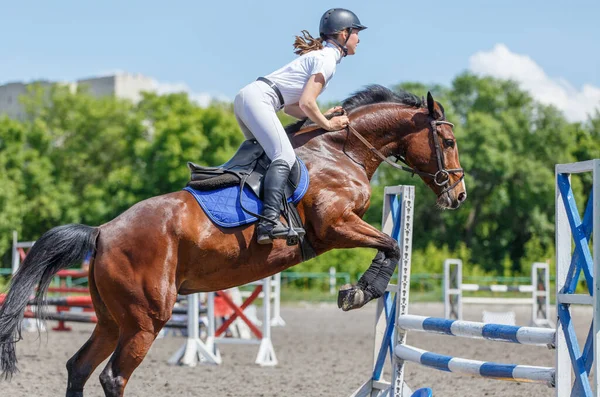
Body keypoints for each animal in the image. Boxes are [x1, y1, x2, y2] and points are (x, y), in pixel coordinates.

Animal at [0, 85, 466, 394]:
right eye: (447, 140)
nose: (458, 195)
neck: (340, 151)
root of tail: (101, 233)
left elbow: (390, 245)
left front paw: (359, 290)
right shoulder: (335, 226)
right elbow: (391, 245)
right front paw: (360, 291)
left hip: (113, 319)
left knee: (78, 367)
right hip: (145, 320)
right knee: (113, 376)